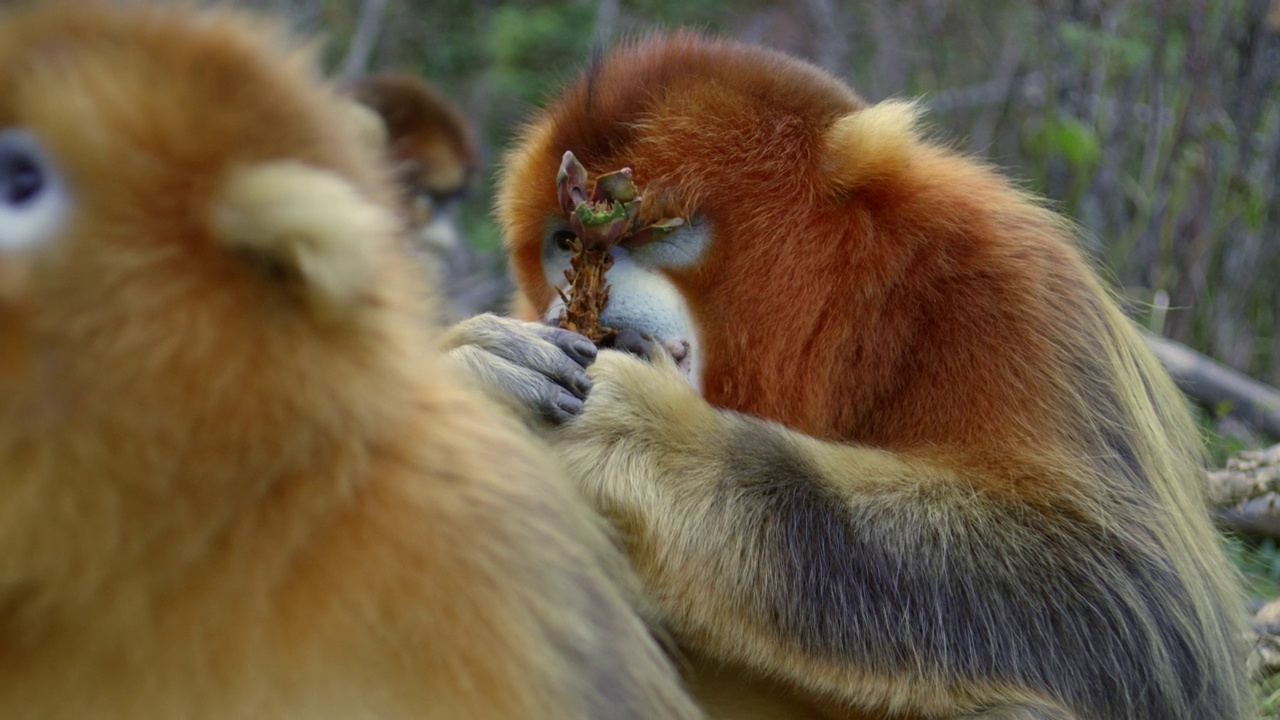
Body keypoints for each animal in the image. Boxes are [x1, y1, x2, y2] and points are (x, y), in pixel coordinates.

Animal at [448, 33, 1249, 717]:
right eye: (563, 243)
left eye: (659, 230)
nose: (578, 297)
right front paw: (473, 368)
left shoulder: (1013, 282)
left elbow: (1137, 619)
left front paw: (641, 435)